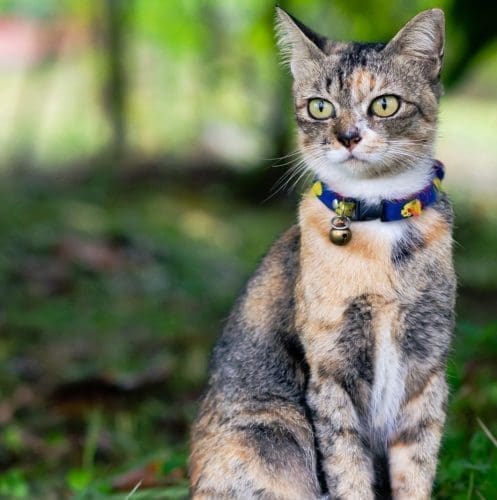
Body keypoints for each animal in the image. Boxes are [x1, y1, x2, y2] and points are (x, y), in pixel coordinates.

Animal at [188, 4, 456, 500]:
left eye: (385, 103)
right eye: (320, 106)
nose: (347, 136)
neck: (377, 222)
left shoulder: (427, 367)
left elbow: (417, 464)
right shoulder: (330, 369)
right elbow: (346, 464)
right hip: (275, 427)